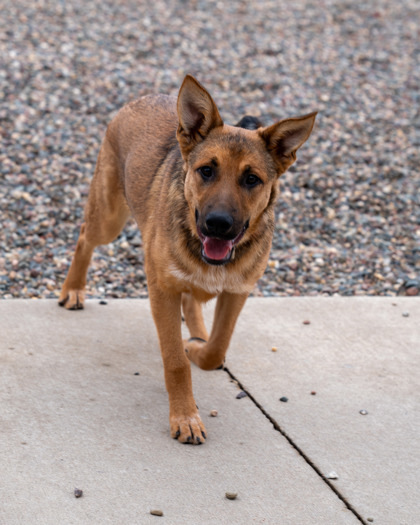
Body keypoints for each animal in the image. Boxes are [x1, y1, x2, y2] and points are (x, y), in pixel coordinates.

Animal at [58, 74, 316, 442]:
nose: (218, 224)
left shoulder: (237, 292)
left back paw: (195, 333)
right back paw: (74, 289)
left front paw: (196, 347)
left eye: (252, 179)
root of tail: (146, 97)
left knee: (194, 303)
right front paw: (185, 416)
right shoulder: (162, 291)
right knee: (83, 237)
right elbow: (175, 362)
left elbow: (217, 348)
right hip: (108, 217)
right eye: (206, 171)